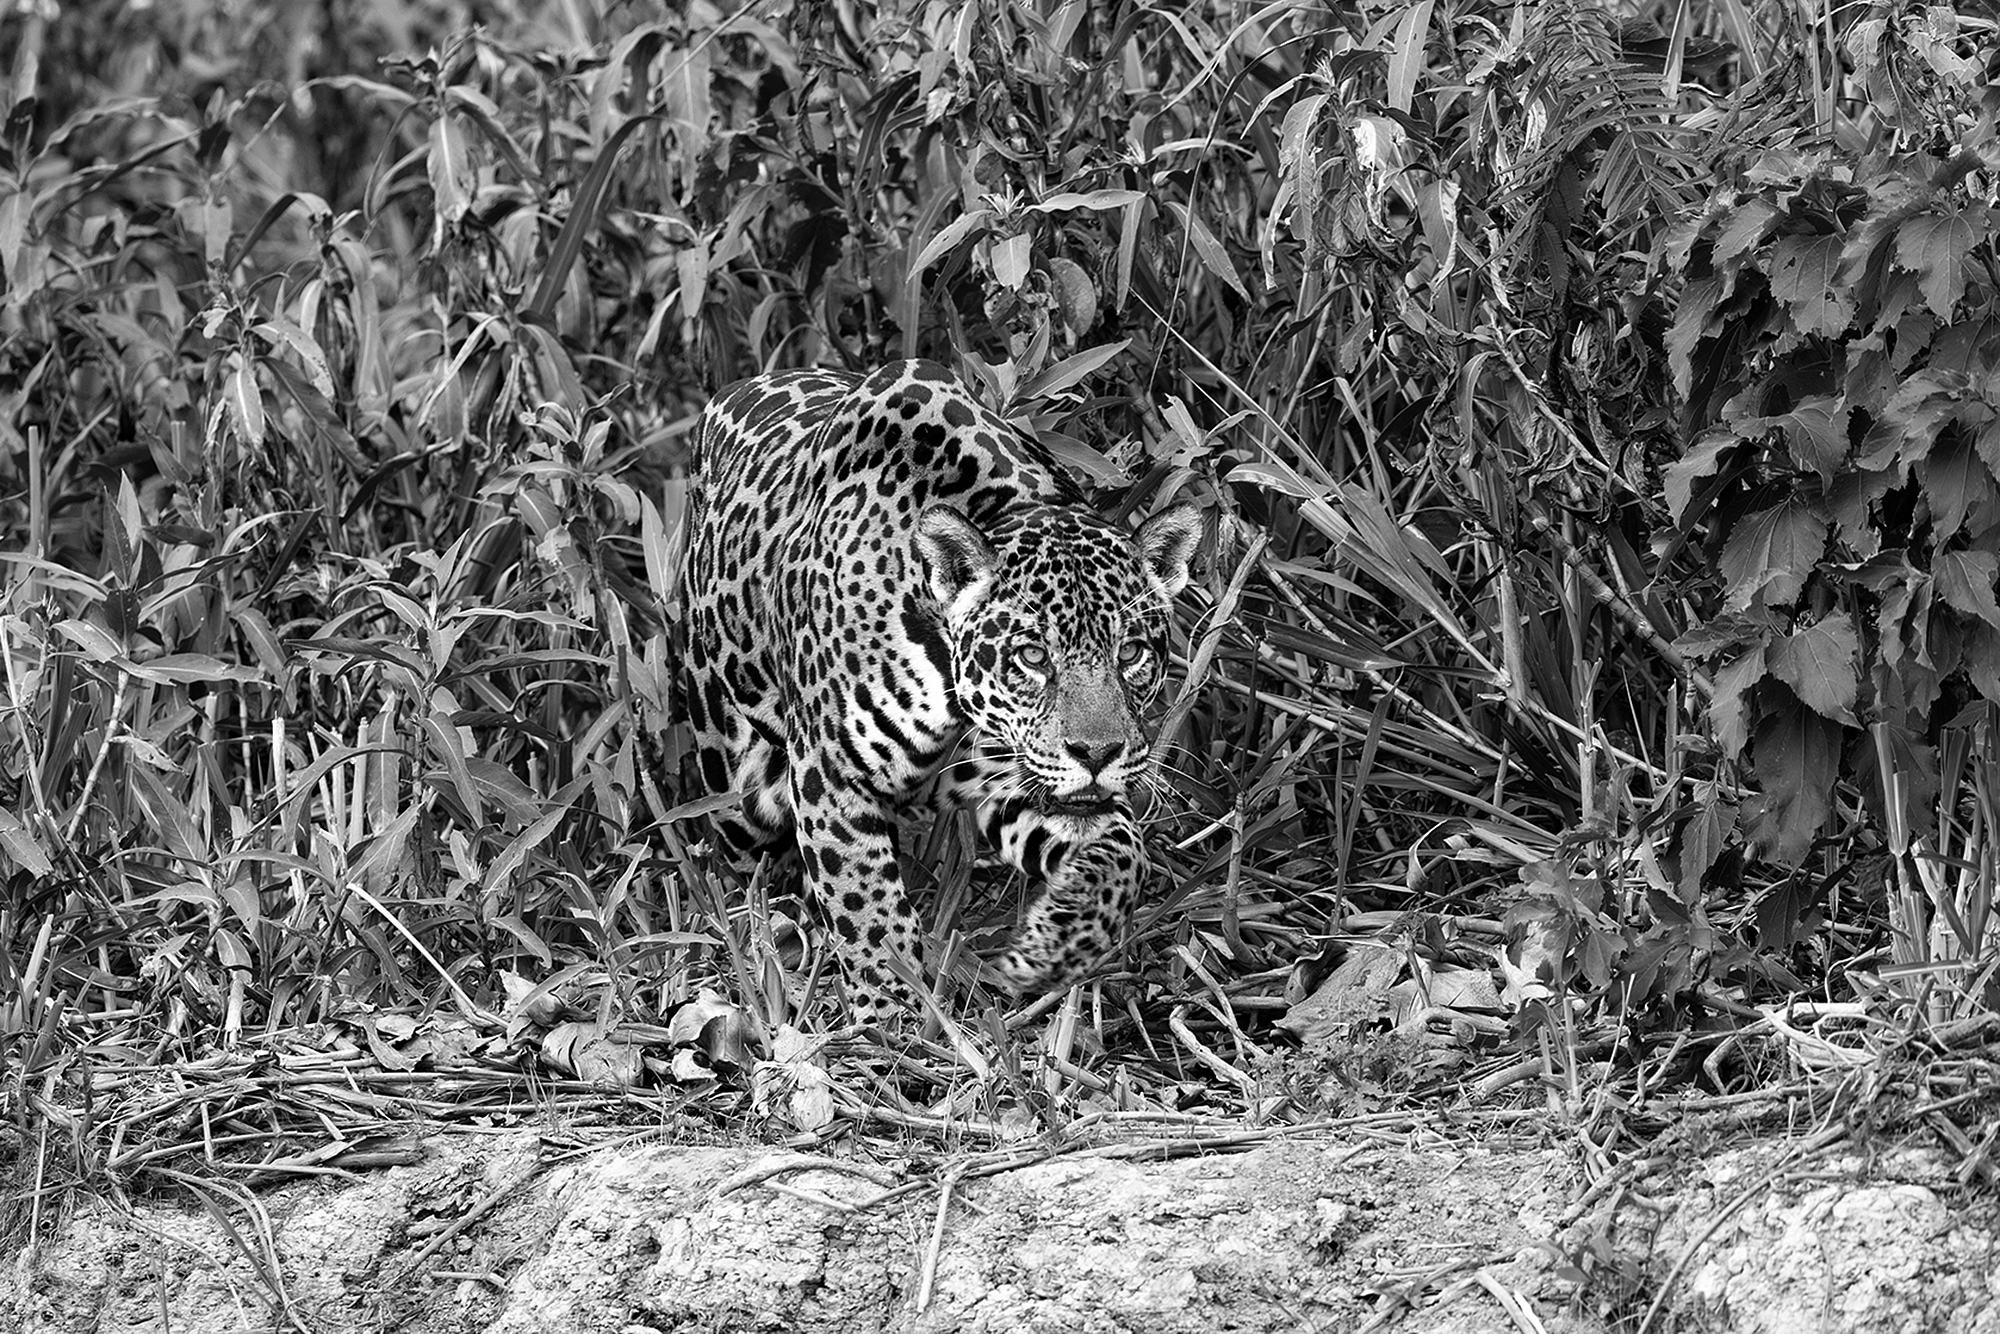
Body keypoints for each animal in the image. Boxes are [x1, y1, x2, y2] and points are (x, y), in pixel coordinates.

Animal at [681, 358, 1201, 1023]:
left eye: (1130, 652)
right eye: (1033, 656)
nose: (1098, 754)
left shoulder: (1013, 779)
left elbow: (1123, 851)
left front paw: (1056, 946)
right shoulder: (831, 774)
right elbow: (866, 906)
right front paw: (891, 1017)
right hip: (733, 774)